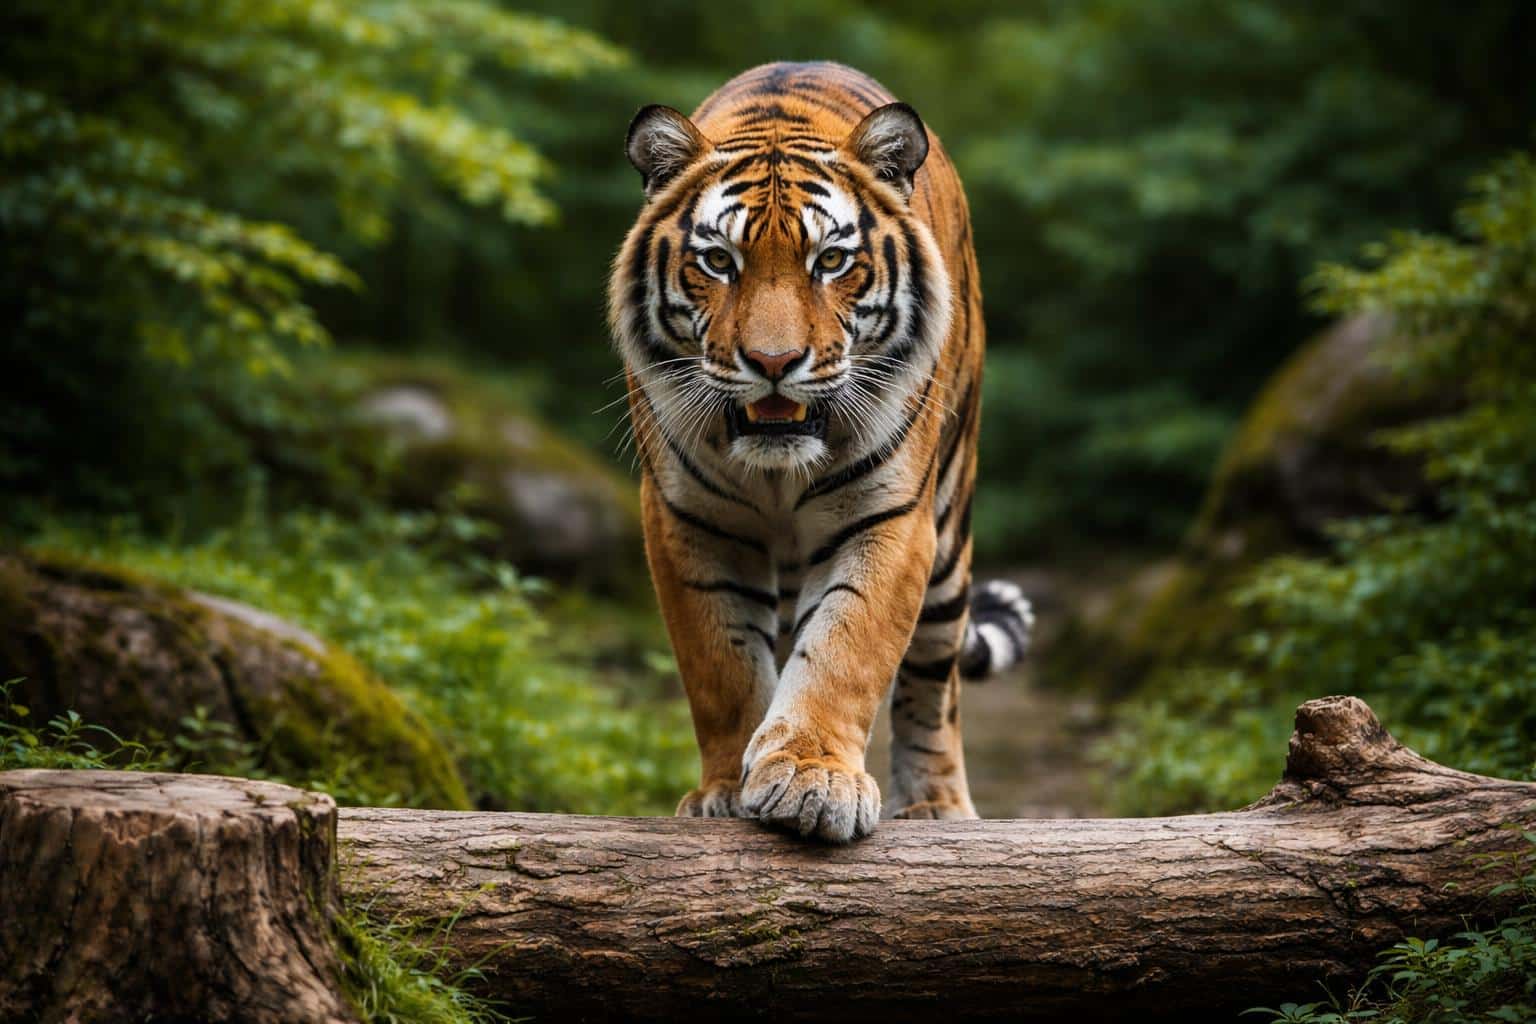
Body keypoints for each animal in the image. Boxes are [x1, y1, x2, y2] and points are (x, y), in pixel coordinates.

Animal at [608, 61, 1033, 842]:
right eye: (718, 261)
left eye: (831, 260)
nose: (774, 362)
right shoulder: (689, 523)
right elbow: (722, 667)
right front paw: (725, 791)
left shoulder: (889, 519)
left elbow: (844, 649)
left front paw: (811, 778)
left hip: (950, 538)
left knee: (935, 683)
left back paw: (938, 805)